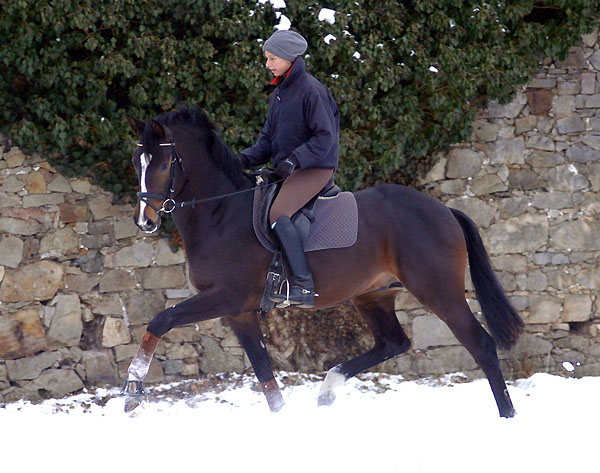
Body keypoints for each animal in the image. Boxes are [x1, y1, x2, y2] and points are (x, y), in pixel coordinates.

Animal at [123, 107, 524, 416]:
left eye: (163, 163)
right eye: (136, 162)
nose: (145, 221)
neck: (220, 212)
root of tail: (444, 210)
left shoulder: (227, 297)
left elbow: (161, 320)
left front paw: (132, 390)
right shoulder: (239, 312)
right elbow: (264, 371)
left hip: (439, 291)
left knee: (481, 345)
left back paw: (507, 416)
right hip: (373, 295)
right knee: (393, 343)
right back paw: (328, 389)